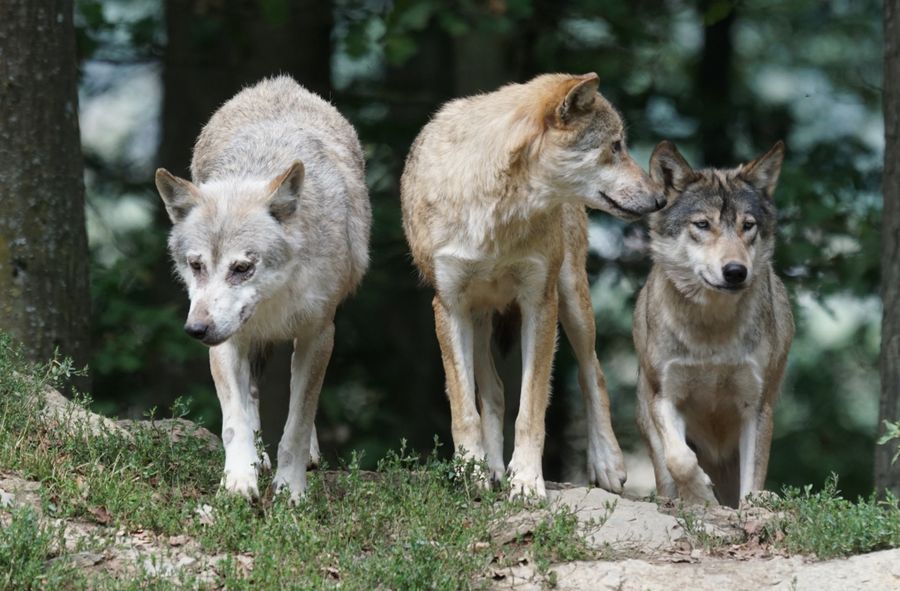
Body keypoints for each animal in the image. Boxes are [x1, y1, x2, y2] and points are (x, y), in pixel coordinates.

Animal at [155, 75, 370, 504]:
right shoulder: (226, 341)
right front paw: (239, 480)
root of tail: (278, 82)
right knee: (251, 395)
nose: (196, 330)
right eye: (197, 265)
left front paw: (291, 489)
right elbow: (234, 421)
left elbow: (297, 423)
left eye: (242, 268)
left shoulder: (319, 335)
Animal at [400, 74, 668, 500]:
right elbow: (464, 408)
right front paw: (472, 472)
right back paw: (491, 470)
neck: (497, 212)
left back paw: (607, 463)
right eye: (615, 146)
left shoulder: (540, 303)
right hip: (478, 318)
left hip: (573, 300)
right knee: (493, 391)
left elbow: (531, 409)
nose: (660, 199)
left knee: (593, 373)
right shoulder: (449, 306)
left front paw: (525, 481)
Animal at [632, 141, 796, 506]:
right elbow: (680, 459)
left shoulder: (756, 407)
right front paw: (701, 496)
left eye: (748, 225)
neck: (711, 331)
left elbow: (753, 482)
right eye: (703, 224)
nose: (735, 271)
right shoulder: (664, 396)